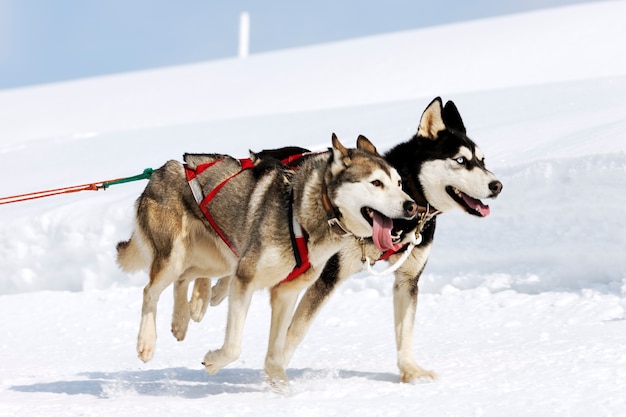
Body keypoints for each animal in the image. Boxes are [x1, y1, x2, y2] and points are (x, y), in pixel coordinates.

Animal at [118, 132, 420, 380]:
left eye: (399, 182)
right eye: (376, 183)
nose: (412, 206)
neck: (307, 213)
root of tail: (161, 170)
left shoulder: (285, 292)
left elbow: (278, 350)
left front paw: (278, 384)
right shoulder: (245, 279)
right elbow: (233, 347)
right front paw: (214, 362)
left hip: (219, 259)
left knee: (184, 278)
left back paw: (182, 321)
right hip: (177, 256)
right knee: (150, 291)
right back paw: (147, 342)